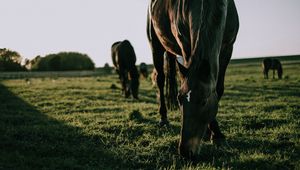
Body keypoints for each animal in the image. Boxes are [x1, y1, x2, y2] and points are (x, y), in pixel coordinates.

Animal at [147, 0, 239, 159]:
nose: (185, 151)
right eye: (179, 100)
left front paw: (214, 133)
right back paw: (163, 119)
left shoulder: (228, 47)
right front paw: (215, 133)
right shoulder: (185, 44)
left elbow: (218, 89)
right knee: (160, 79)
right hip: (156, 45)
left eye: (204, 101)